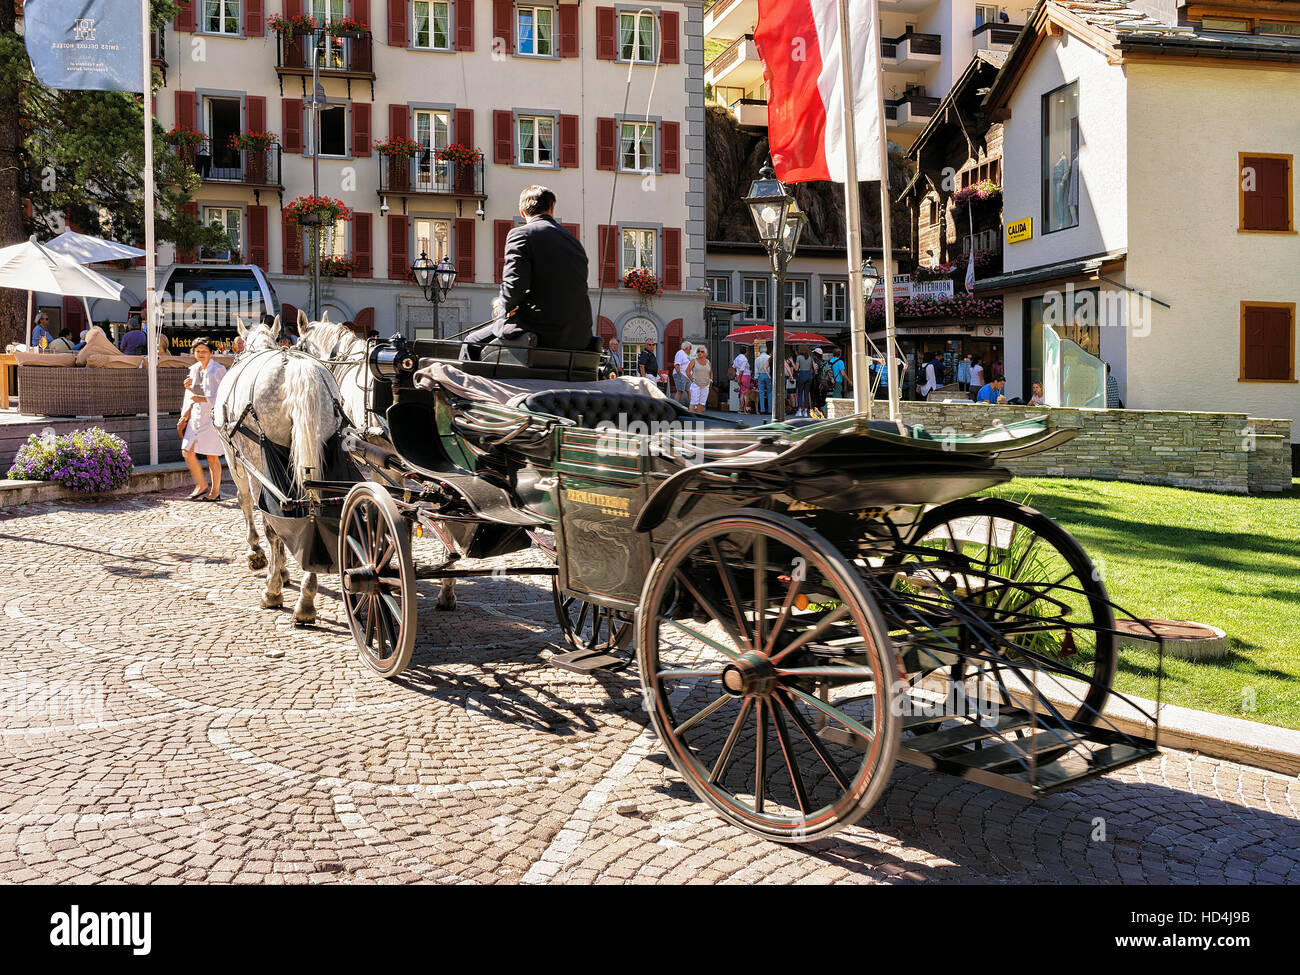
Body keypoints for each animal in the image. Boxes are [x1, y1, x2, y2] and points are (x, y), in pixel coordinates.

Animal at [213, 318, 345, 626]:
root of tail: (297, 369)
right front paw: (285, 570)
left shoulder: (234, 456)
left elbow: (247, 504)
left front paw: (259, 556)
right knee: (314, 510)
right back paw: (307, 596)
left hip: (256, 460)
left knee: (272, 520)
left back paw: (273, 590)